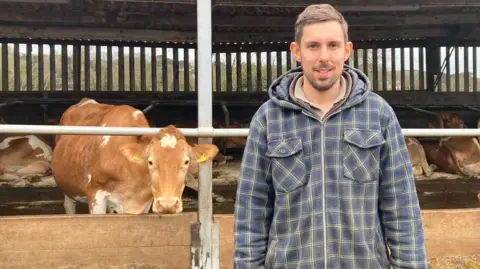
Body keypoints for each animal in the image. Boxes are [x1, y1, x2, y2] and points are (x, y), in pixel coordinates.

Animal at [51, 97, 219, 215]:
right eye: (150, 162)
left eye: (186, 162)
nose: (168, 204)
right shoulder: (95, 195)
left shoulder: (144, 203)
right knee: (69, 205)